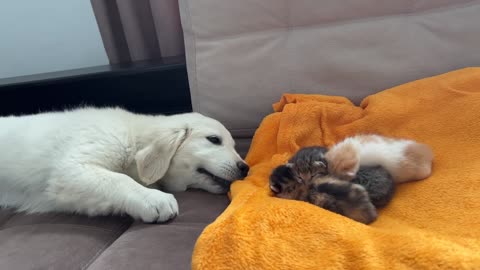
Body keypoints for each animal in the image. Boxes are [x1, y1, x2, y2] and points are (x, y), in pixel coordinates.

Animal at [0, 106, 248, 223]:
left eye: (235, 145)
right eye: (214, 140)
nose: (245, 168)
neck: (133, 137)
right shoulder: (69, 171)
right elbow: (118, 179)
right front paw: (152, 198)